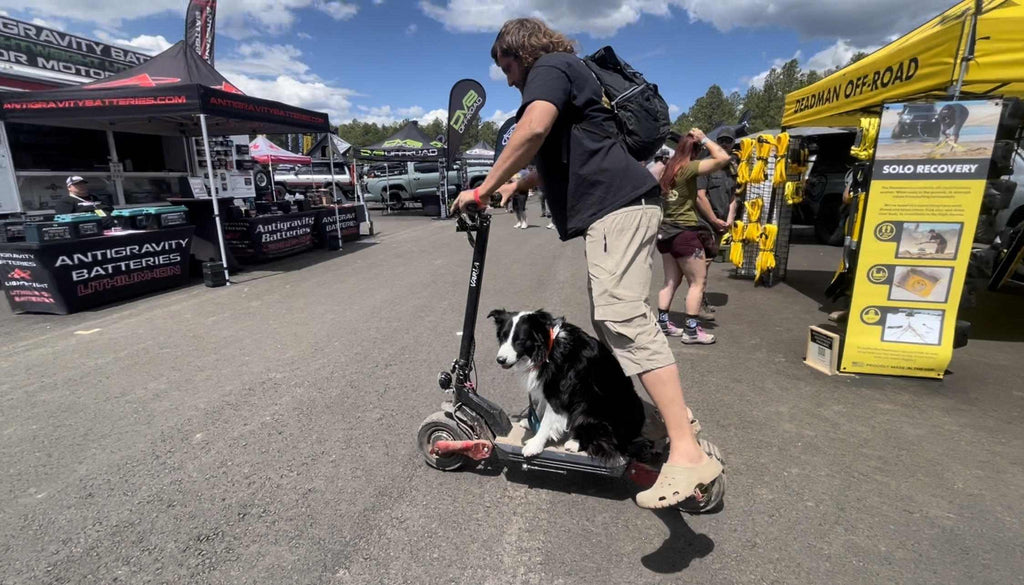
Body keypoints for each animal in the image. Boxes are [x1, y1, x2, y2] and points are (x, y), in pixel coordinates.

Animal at [485, 309, 638, 461]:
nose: (500, 360)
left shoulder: (559, 393)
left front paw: (535, 445)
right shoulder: (546, 386)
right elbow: (540, 407)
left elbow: (546, 422)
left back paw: (575, 443)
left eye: (520, 340)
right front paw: (531, 422)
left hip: (590, 407)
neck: (549, 348)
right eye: (502, 337)